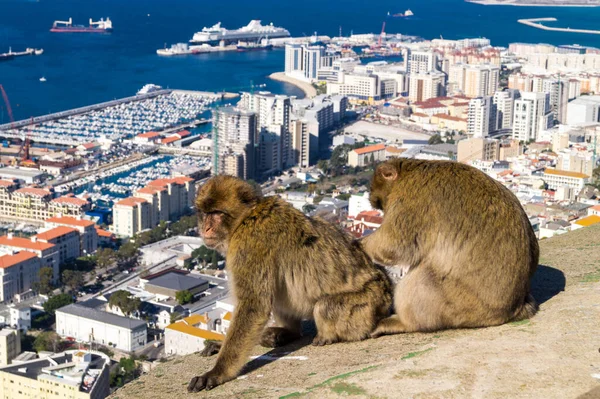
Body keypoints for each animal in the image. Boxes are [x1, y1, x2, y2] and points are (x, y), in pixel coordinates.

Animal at [189, 176, 394, 394]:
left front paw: (217, 372)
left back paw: (325, 336)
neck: (245, 218)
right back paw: (284, 334)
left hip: (369, 303)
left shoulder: (250, 244)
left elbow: (254, 306)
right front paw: (220, 344)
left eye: (217, 213)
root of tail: (387, 289)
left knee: (324, 307)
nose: (205, 228)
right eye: (205, 213)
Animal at [360, 159, 540, 338]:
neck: (408, 173)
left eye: (380, 201)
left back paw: (404, 323)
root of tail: (515, 309)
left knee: (423, 278)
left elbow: (393, 245)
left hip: (463, 306)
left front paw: (360, 244)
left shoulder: (411, 201)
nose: (382, 211)